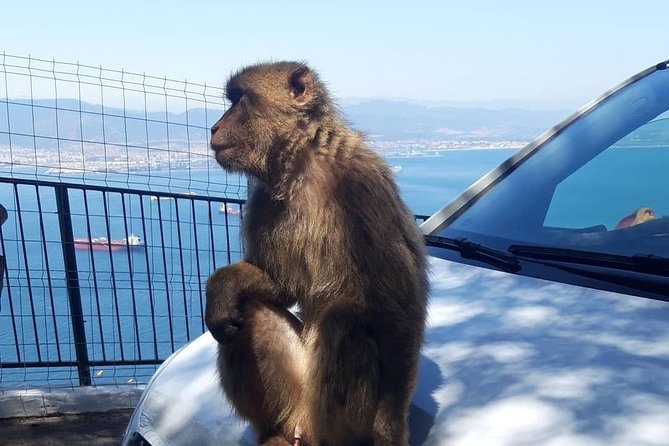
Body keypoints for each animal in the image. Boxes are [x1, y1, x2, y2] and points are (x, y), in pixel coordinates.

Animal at [205, 61, 428, 446]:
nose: (215, 127)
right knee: (252, 312)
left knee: (345, 319)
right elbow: (279, 286)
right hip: (295, 398)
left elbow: (399, 308)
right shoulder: (263, 201)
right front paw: (223, 286)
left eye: (240, 100)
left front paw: (391, 428)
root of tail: (303, 425)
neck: (302, 166)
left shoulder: (362, 185)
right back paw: (272, 433)